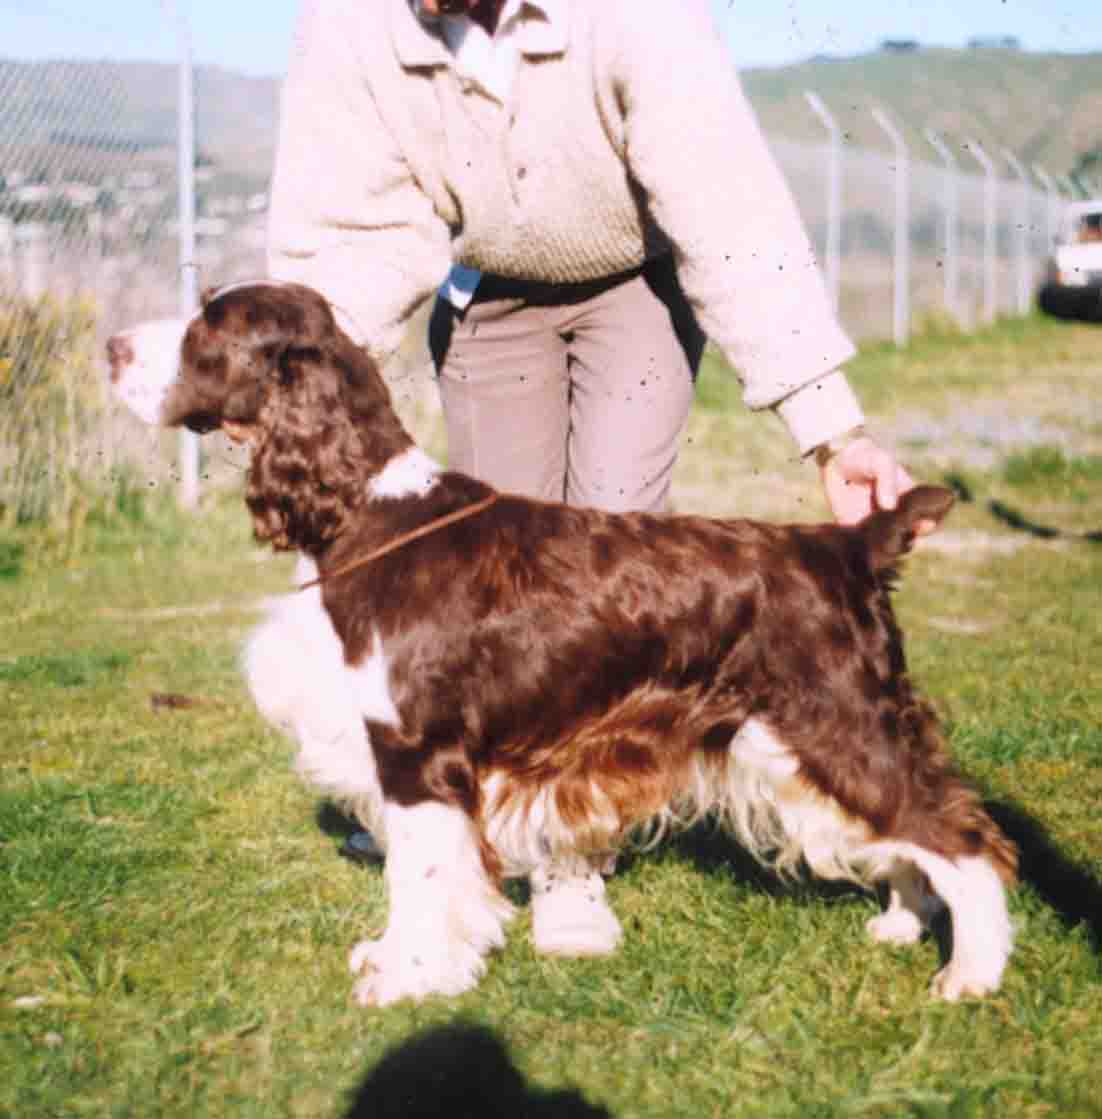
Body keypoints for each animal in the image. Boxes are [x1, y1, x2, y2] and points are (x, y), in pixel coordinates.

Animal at [107, 279, 1020, 1007]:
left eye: (210, 325)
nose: (110, 346)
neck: (370, 513)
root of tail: (846, 545)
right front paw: (399, 958)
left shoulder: (418, 753)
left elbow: (417, 877)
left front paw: (406, 975)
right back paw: (901, 925)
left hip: (833, 722)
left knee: (959, 835)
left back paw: (970, 974)